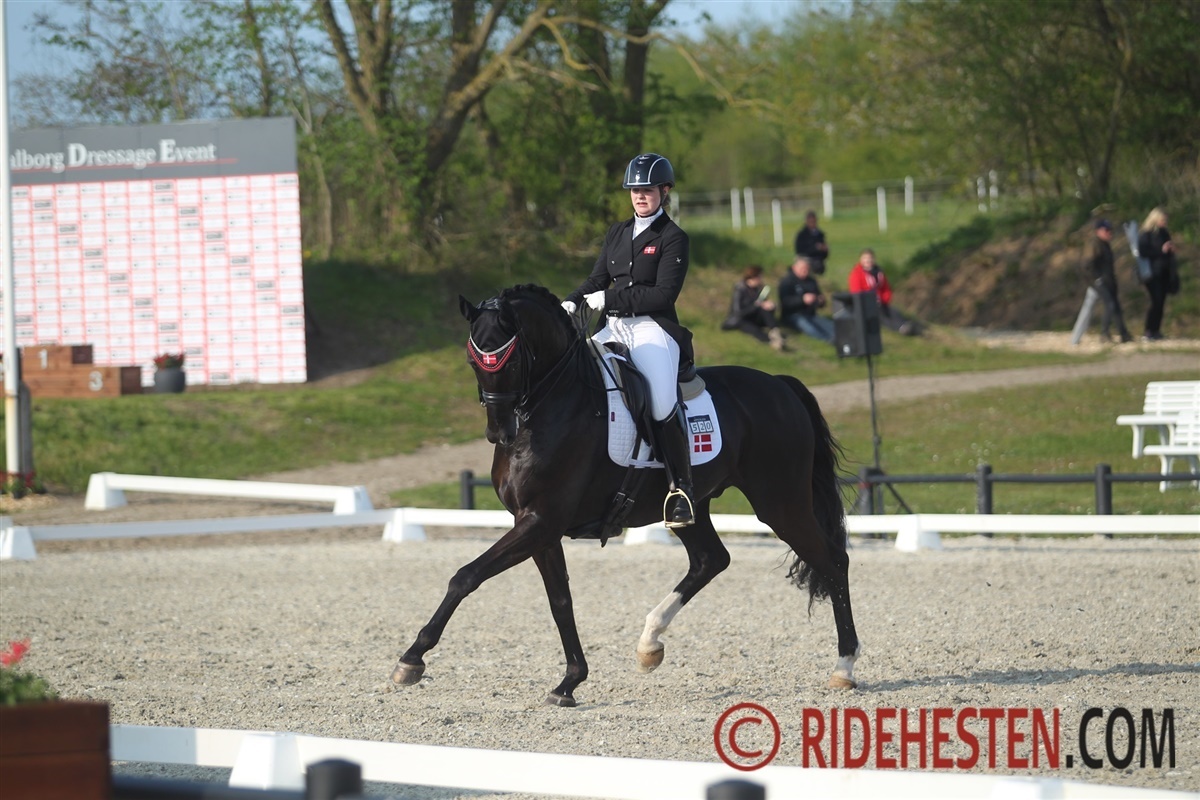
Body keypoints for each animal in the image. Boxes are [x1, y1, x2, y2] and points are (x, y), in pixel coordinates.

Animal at [391, 284, 860, 707]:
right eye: (473, 358)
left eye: (508, 357)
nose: (499, 432)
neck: (552, 404)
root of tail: (780, 385)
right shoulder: (538, 525)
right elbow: (560, 600)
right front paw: (570, 682)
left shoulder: (540, 521)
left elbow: (466, 576)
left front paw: (412, 659)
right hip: (689, 506)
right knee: (710, 559)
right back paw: (649, 643)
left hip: (780, 503)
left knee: (833, 562)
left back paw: (845, 666)